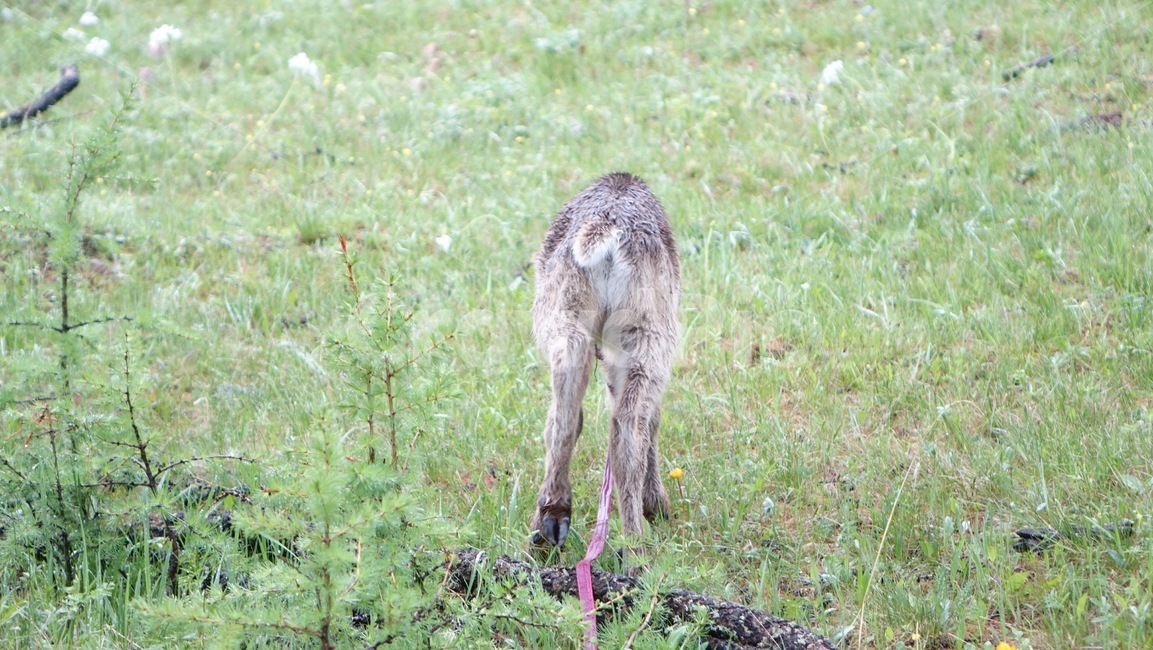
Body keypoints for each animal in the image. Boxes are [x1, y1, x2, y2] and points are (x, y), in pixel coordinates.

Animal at [530, 172, 681, 550]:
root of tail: (608, 233)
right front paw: (655, 504)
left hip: (568, 318)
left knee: (566, 416)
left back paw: (551, 520)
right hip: (649, 331)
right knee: (629, 427)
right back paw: (636, 542)